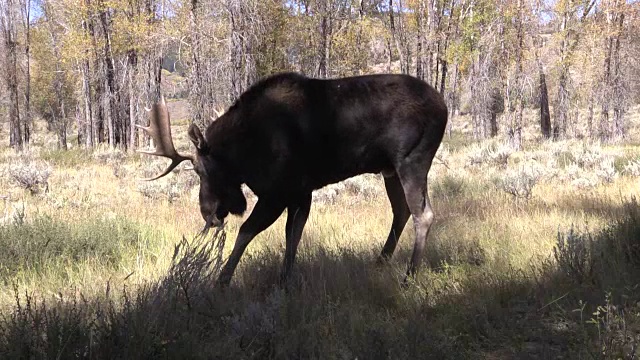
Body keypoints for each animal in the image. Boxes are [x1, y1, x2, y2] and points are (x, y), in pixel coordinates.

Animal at [139, 71, 450, 286]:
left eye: (200, 171)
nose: (208, 214)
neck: (247, 150)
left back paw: (409, 275)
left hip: (412, 160)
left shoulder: (278, 193)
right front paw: (285, 280)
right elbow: (293, 235)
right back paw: (380, 262)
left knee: (424, 214)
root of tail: (444, 106)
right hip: (390, 170)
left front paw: (221, 281)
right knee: (401, 211)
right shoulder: (301, 193)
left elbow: (247, 232)